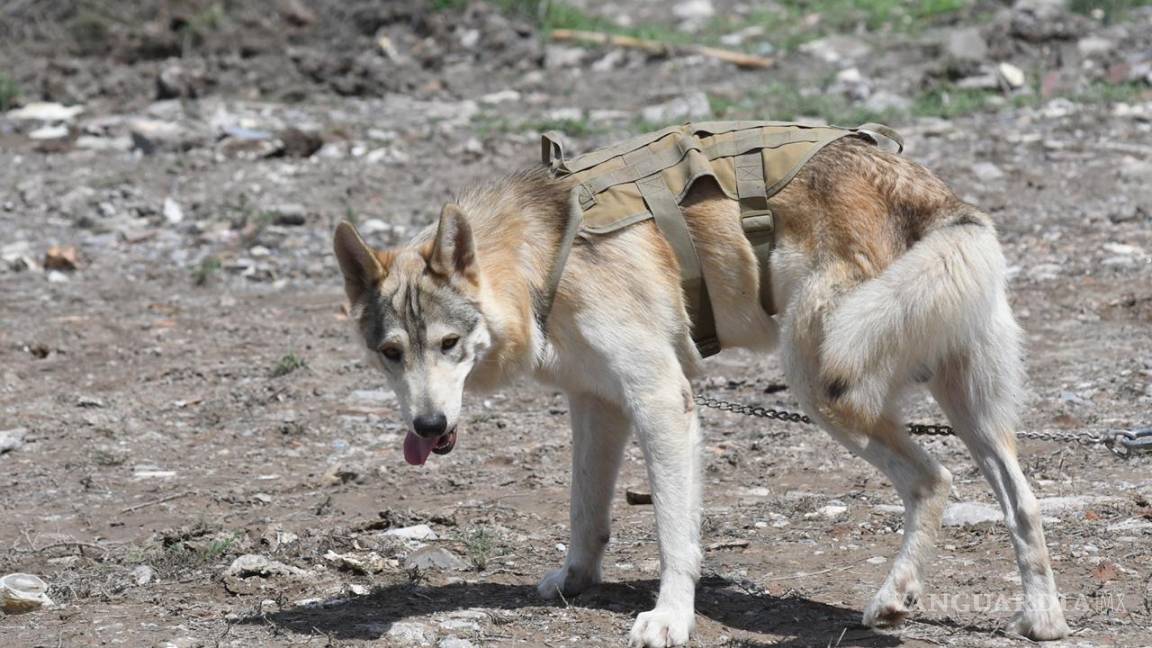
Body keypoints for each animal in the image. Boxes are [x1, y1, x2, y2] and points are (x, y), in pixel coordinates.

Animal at [332, 132, 1069, 646]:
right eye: (390, 354)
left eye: (449, 345)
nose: (427, 429)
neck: (541, 259)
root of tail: (925, 192)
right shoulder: (597, 407)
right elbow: (585, 514)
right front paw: (576, 581)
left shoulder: (663, 403)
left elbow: (673, 537)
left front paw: (669, 618)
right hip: (969, 411)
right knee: (1016, 501)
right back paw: (1033, 616)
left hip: (825, 386)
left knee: (933, 478)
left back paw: (901, 596)